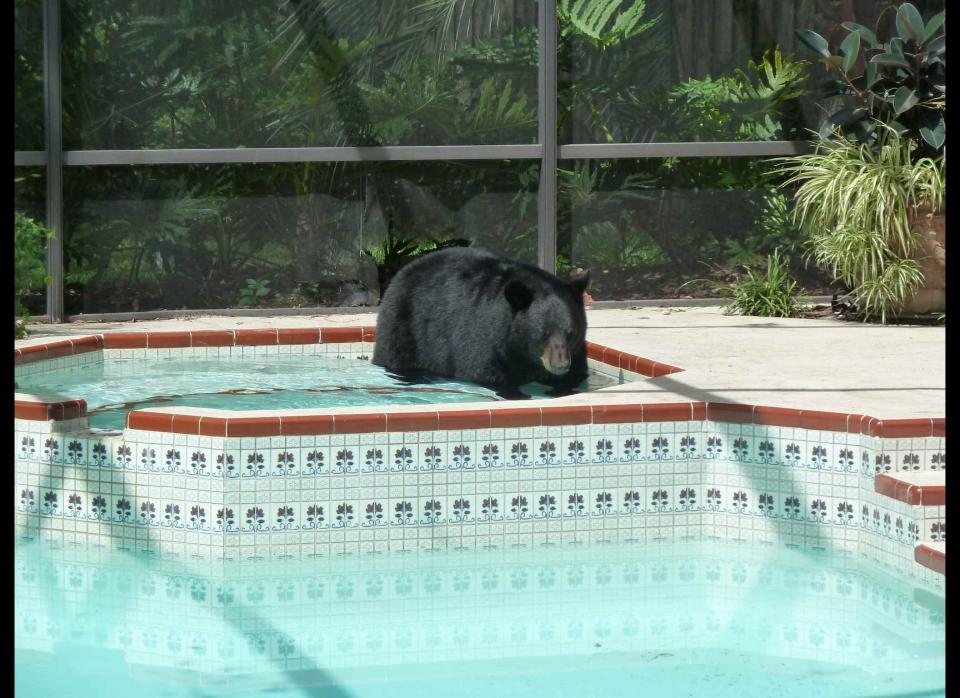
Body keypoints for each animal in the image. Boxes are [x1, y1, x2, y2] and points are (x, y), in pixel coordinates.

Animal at [372, 247, 588, 394]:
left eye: (571, 333)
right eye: (544, 333)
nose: (560, 364)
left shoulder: (576, 353)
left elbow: (575, 376)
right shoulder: (487, 342)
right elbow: (488, 375)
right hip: (402, 326)